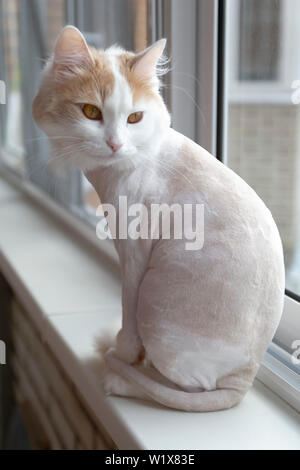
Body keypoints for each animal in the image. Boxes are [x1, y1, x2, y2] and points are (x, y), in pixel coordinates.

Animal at [32, 26, 284, 412]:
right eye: (91, 112)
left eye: (134, 118)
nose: (115, 144)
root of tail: (244, 380)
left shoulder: (134, 255)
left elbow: (128, 320)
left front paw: (122, 354)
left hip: (156, 308)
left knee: (181, 387)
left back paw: (121, 379)